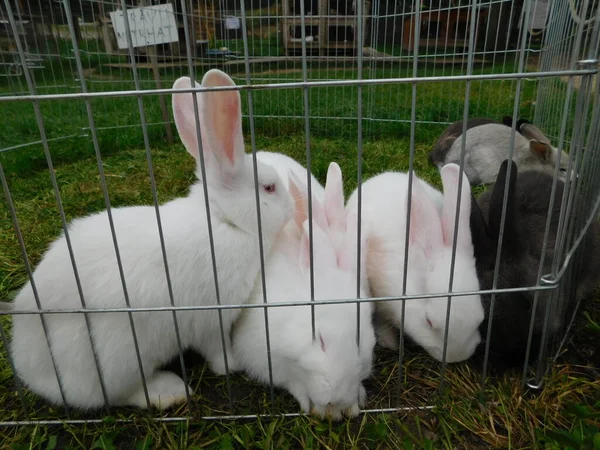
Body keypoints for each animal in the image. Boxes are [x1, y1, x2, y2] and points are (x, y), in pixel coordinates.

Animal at [7, 69, 292, 412]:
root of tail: (31, 369)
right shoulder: (211, 317)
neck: (224, 220)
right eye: (269, 188)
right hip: (117, 356)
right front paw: (232, 366)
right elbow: (217, 350)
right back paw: (168, 391)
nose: (293, 208)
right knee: (112, 395)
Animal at [232, 163, 372, 420]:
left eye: (361, 342)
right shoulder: (261, 356)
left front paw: (352, 405)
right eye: (321, 341)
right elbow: (291, 382)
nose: (336, 397)